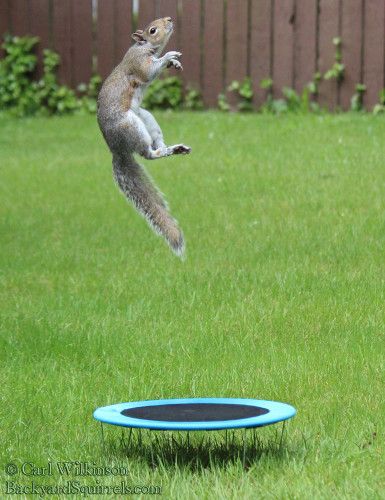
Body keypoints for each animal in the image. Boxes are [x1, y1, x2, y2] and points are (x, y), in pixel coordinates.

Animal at [97, 16, 190, 258]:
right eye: (153, 30)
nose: (170, 19)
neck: (144, 47)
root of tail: (116, 149)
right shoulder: (138, 63)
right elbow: (149, 72)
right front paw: (169, 56)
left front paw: (174, 64)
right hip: (132, 126)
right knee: (148, 154)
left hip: (146, 119)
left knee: (157, 146)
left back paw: (173, 148)